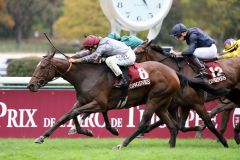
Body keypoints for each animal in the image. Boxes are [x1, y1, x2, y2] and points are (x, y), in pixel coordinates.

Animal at [27, 50, 184, 148]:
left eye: (43, 66)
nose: (30, 85)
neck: (87, 76)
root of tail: (173, 72)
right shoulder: (85, 101)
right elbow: (66, 116)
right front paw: (42, 137)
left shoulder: (98, 103)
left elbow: (74, 113)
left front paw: (86, 131)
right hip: (161, 104)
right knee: (172, 126)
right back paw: (172, 146)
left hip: (154, 99)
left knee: (144, 124)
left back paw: (122, 144)